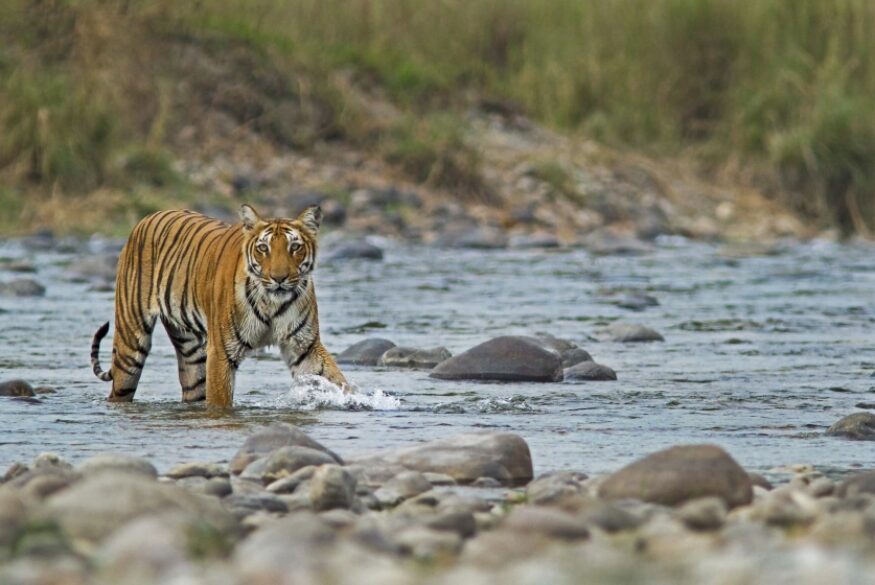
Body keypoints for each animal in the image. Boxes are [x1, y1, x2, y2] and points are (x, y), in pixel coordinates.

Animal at [90, 204, 350, 406]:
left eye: (294, 247)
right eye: (263, 248)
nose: (279, 278)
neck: (272, 302)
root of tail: (147, 217)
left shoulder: (305, 346)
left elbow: (336, 379)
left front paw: (354, 401)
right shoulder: (221, 353)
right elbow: (220, 401)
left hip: (191, 354)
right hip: (131, 343)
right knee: (119, 388)